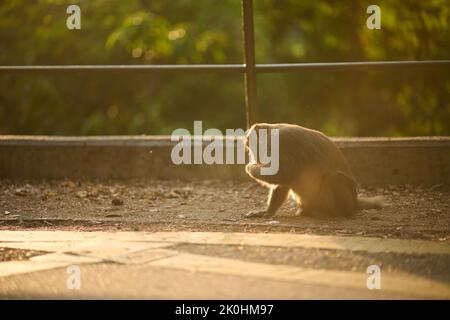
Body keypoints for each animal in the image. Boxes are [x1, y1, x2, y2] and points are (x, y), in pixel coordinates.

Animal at [244, 122, 384, 218]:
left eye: (251, 146)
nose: (251, 155)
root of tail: (354, 203)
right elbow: (284, 182)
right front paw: (268, 211)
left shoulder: (282, 143)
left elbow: (284, 173)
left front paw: (250, 168)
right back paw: (306, 210)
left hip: (347, 201)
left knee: (333, 177)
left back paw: (336, 213)